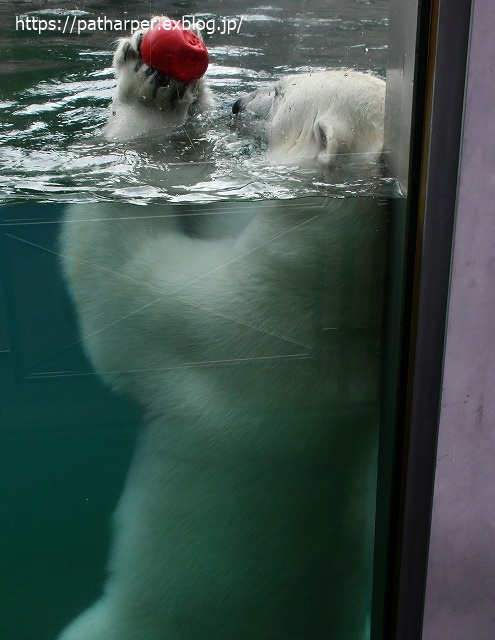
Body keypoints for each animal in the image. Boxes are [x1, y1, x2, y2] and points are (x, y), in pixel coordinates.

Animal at [57, 17, 388, 640]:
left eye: (279, 92)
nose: (236, 104)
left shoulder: (229, 330)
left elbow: (119, 280)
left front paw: (144, 97)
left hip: (129, 620)